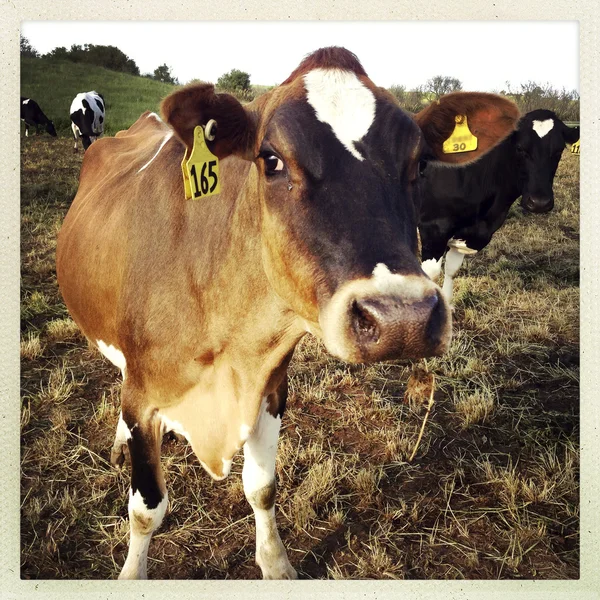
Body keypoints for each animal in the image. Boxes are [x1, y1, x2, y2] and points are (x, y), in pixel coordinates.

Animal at [56, 48, 512, 580]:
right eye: (271, 160)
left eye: (420, 165)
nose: (403, 318)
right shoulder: (143, 397)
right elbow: (146, 508)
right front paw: (133, 575)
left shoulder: (272, 385)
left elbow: (262, 487)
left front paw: (275, 565)